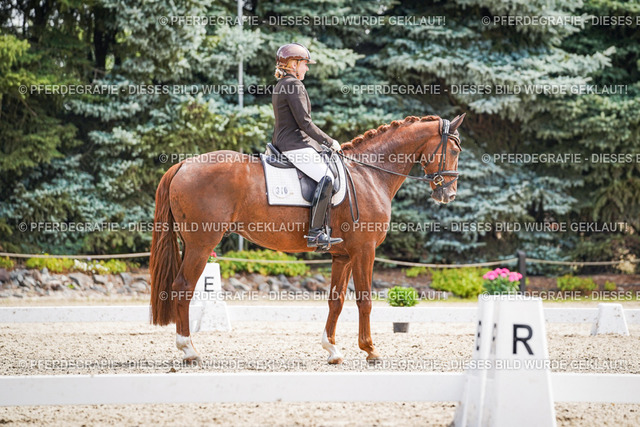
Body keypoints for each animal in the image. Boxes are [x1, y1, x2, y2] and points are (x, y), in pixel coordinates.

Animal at [149, 113, 465, 364]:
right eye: (453, 150)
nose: (448, 194)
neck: (368, 173)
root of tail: (183, 165)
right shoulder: (364, 250)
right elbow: (364, 299)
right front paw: (370, 350)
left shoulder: (343, 255)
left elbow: (336, 300)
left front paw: (332, 350)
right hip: (201, 245)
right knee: (182, 287)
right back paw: (189, 350)